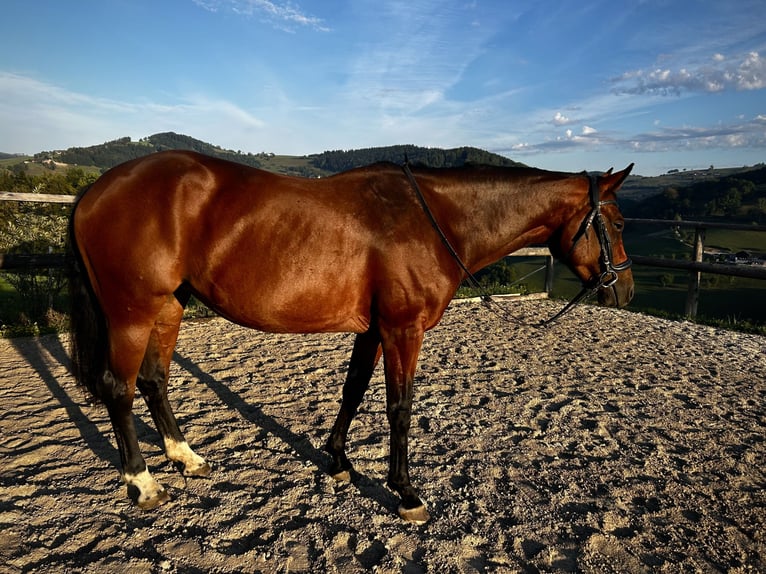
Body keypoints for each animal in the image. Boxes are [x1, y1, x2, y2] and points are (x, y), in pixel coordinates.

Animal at [68, 150, 634, 524]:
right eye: (619, 222)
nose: (625, 290)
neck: (433, 219)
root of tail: (98, 189)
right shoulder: (403, 328)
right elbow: (399, 406)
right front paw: (406, 493)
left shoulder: (375, 329)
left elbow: (354, 389)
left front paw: (338, 461)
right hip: (132, 312)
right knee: (119, 389)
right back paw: (143, 483)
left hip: (169, 305)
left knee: (154, 381)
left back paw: (186, 457)